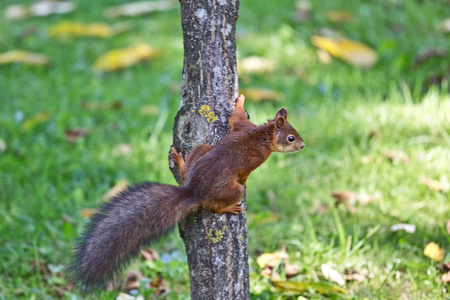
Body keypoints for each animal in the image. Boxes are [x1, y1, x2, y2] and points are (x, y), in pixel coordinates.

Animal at [67, 95, 306, 292]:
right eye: (291, 138)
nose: (303, 146)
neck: (262, 135)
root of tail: (192, 190)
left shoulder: (242, 126)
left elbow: (235, 117)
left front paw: (239, 102)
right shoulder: (257, 157)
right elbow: (245, 173)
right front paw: (246, 179)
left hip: (202, 148)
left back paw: (181, 164)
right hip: (230, 190)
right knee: (214, 206)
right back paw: (229, 206)